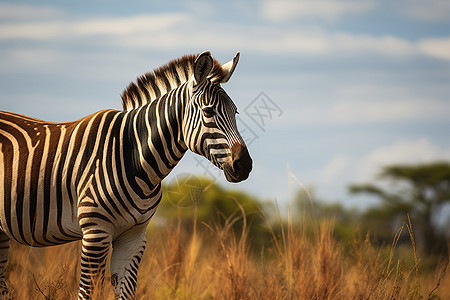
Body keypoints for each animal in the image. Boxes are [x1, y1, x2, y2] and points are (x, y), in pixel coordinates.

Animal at [0, 50, 253, 298]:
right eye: (208, 111)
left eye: (235, 112)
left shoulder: (134, 236)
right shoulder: (95, 232)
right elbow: (88, 293)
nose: (245, 165)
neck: (135, 159)